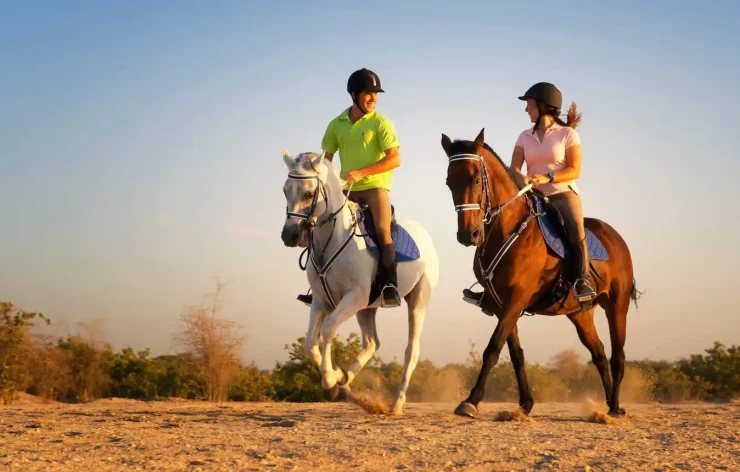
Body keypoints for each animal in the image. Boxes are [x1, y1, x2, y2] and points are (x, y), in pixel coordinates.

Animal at [280, 149, 440, 414]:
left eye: (310, 193)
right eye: (285, 190)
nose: (289, 236)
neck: (333, 239)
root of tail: (425, 236)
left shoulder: (354, 297)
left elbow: (327, 329)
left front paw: (330, 381)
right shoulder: (321, 301)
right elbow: (310, 342)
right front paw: (337, 376)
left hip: (417, 300)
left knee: (411, 351)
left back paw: (396, 403)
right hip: (367, 309)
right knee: (372, 343)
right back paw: (347, 380)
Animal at [440, 127, 640, 418]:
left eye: (477, 179)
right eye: (449, 182)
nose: (469, 235)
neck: (507, 229)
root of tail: (616, 238)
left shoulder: (517, 298)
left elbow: (493, 348)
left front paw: (471, 400)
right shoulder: (501, 304)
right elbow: (515, 354)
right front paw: (526, 403)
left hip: (617, 304)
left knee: (618, 355)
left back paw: (614, 407)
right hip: (580, 313)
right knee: (599, 353)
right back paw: (608, 404)